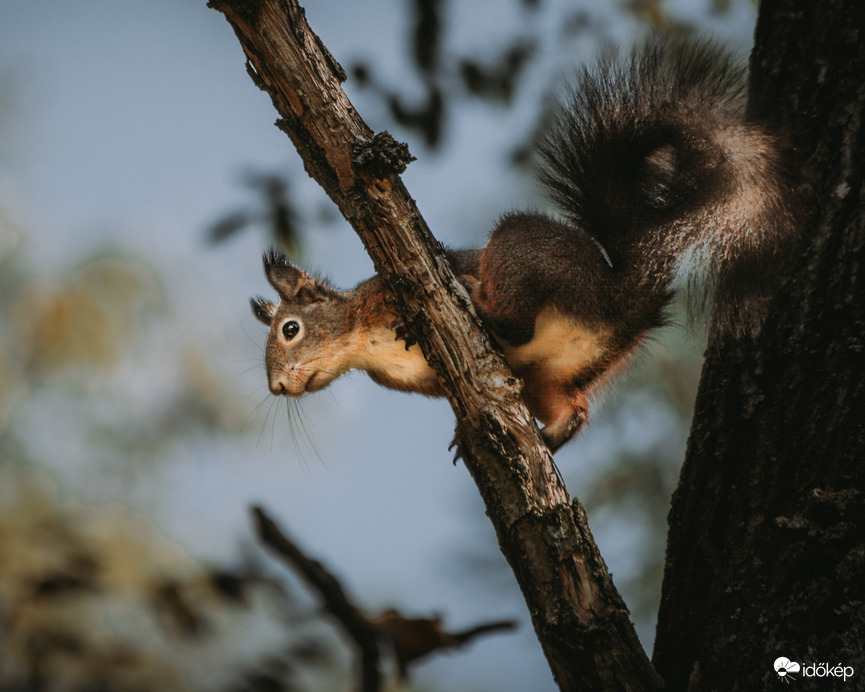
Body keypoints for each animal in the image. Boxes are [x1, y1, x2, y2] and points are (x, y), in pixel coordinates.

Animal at [250, 40, 796, 456]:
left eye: (290, 329)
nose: (277, 387)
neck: (360, 339)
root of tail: (620, 293)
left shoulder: (387, 291)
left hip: (520, 254)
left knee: (516, 321)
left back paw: (476, 299)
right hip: (550, 377)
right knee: (573, 409)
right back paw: (550, 437)